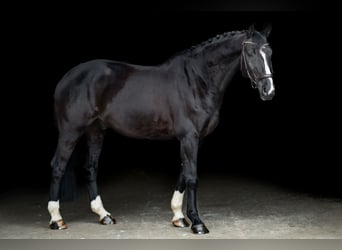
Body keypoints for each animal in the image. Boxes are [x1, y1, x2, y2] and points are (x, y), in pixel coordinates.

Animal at [47, 24, 276, 233]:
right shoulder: (189, 137)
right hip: (70, 132)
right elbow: (192, 177)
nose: (269, 91)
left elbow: (183, 174)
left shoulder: (195, 138)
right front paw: (197, 222)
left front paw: (179, 217)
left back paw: (104, 215)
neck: (197, 81)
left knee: (90, 168)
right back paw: (57, 219)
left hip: (95, 132)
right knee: (58, 167)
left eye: (269, 53)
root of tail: (67, 77)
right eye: (251, 52)